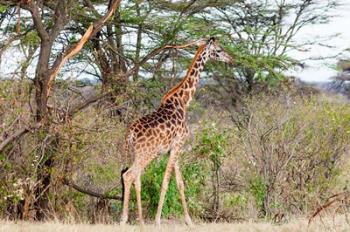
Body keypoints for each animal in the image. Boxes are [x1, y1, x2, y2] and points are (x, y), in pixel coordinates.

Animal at [119, 37, 232, 226]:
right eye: (219, 50)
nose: (231, 59)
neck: (183, 101)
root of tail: (130, 134)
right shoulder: (178, 144)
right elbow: (166, 182)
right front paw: (158, 221)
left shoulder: (173, 148)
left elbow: (179, 183)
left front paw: (189, 221)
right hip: (147, 153)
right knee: (130, 175)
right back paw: (126, 219)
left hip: (134, 153)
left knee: (134, 177)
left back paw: (138, 220)